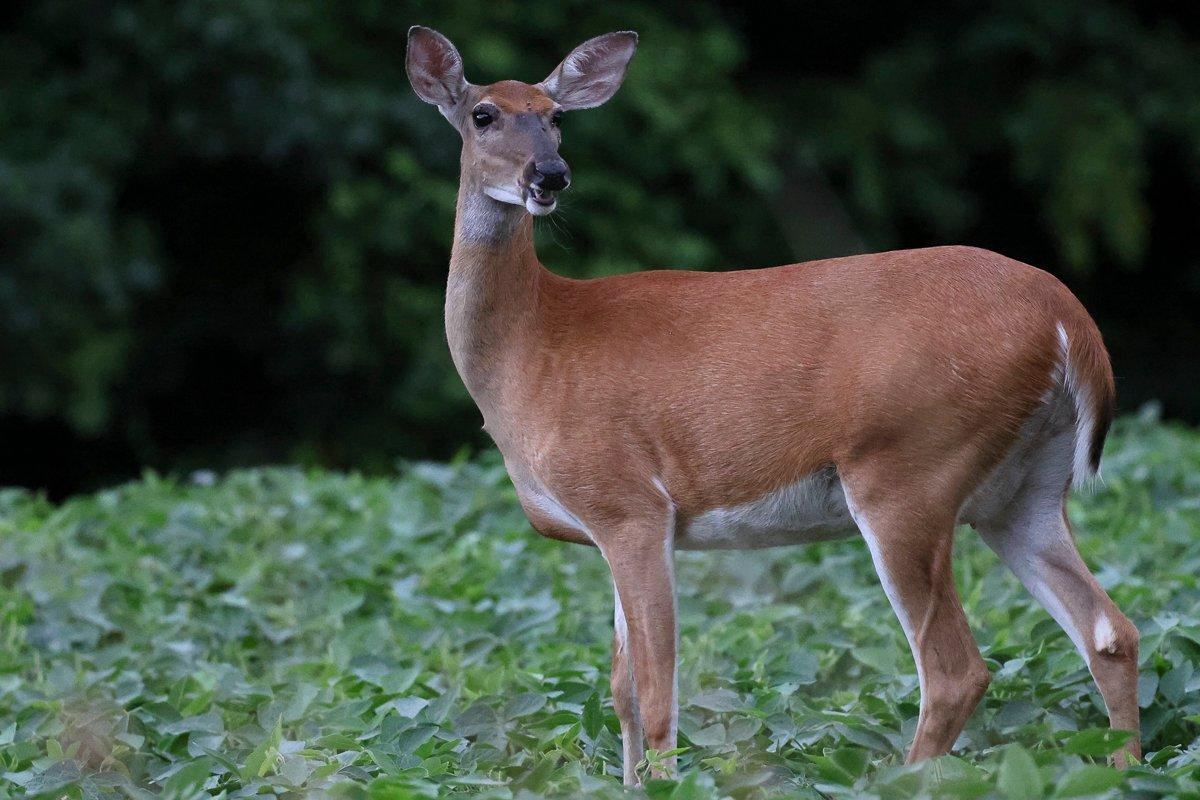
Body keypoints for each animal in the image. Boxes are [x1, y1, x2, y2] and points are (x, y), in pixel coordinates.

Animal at [405, 23, 1142, 782]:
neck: (533, 347)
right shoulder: (608, 525)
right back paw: (1124, 769)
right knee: (1111, 631)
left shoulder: (629, 502)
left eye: (556, 118)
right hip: (1023, 488)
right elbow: (619, 689)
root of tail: (1067, 317)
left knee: (955, 670)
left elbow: (656, 690)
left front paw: (667, 787)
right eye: (482, 114)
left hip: (910, 467)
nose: (550, 175)